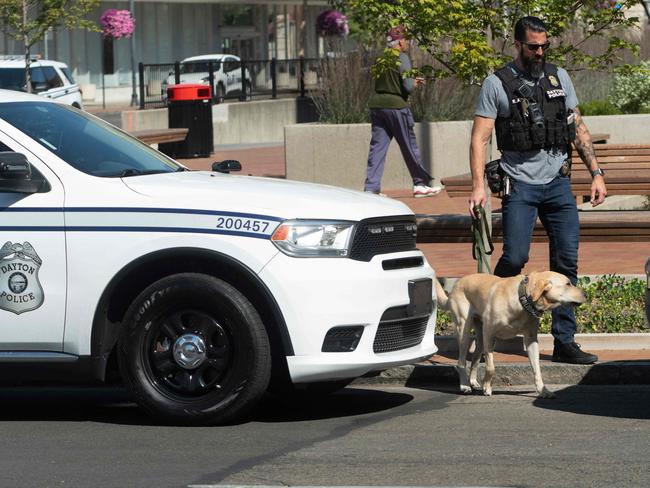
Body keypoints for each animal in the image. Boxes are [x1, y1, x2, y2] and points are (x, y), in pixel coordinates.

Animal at [432, 272, 584, 398]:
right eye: (568, 284)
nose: (585, 294)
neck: (522, 300)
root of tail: (456, 284)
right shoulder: (489, 334)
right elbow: (490, 367)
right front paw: (487, 388)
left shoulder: (531, 340)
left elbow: (537, 369)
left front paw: (543, 391)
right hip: (464, 329)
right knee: (461, 362)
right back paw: (464, 386)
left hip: (480, 337)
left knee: (475, 359)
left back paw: (473, 381)